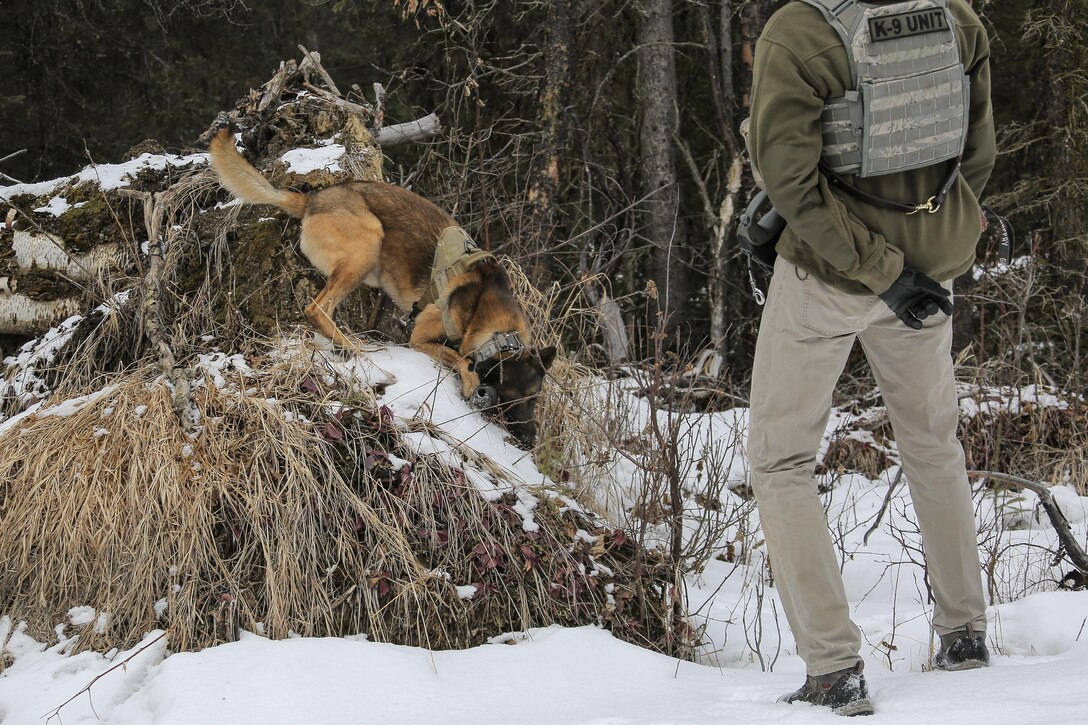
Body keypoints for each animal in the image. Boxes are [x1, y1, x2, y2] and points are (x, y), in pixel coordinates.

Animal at [208, 128, 557, 446]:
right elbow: (457, 357)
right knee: (317, 308)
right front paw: (471, 381)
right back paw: (350, 345)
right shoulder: (420, 338)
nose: (531, 440)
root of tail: (311, 200)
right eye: (518, 398)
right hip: (368, 242)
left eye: (535, 398)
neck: (486, 304)